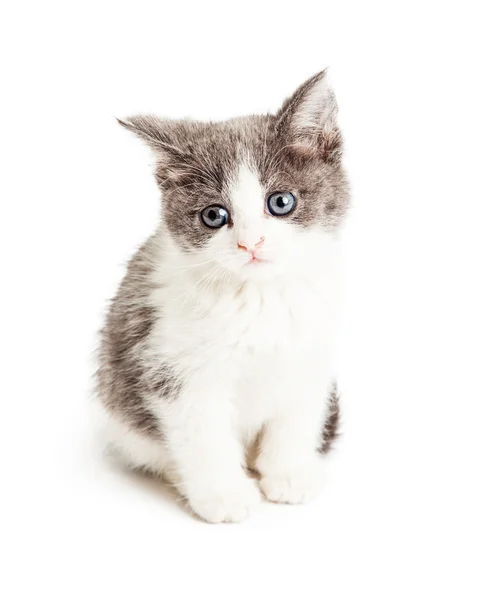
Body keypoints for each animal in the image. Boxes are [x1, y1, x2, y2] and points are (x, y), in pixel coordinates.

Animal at [97, 69, 350, 520]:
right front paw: (223, 495)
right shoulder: (173, 365)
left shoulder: (311, 351)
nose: (251, 243)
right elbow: (202, 432)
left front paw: (288, 474)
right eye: (214, 215)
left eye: (281, 202)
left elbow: (297, 414)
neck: (261, 298)